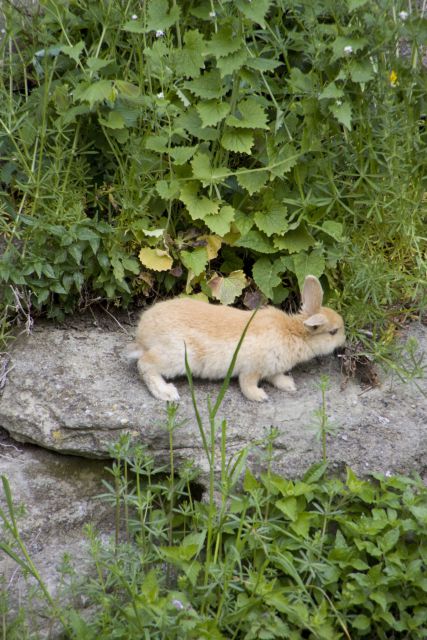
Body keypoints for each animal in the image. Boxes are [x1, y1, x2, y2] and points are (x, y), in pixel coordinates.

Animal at [129, 274, 346, 402]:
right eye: (334, 332)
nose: (344, 342)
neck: (293, 332)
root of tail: (142, 334)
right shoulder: (251, 368)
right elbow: (247, 384)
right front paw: (260, 397)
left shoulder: (272, 368)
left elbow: (276, 377)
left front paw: (289, 385)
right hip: (176, 356)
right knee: (145, 364)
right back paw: (167, 393)